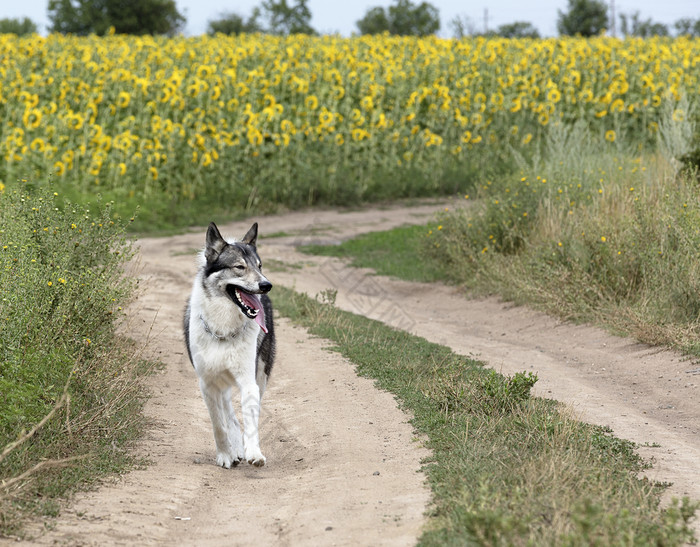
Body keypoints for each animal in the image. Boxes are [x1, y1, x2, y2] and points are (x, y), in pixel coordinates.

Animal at [183, 220, 276, 468]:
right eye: (239, 267)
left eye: (260, 266)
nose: (266, 284)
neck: (223, 330)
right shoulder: (208, 385)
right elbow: (219, 425)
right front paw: (225, 454)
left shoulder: (249, 381)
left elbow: (251, 422)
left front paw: (254, 453)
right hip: (221, 385)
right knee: (229, 415)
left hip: (261, 375)